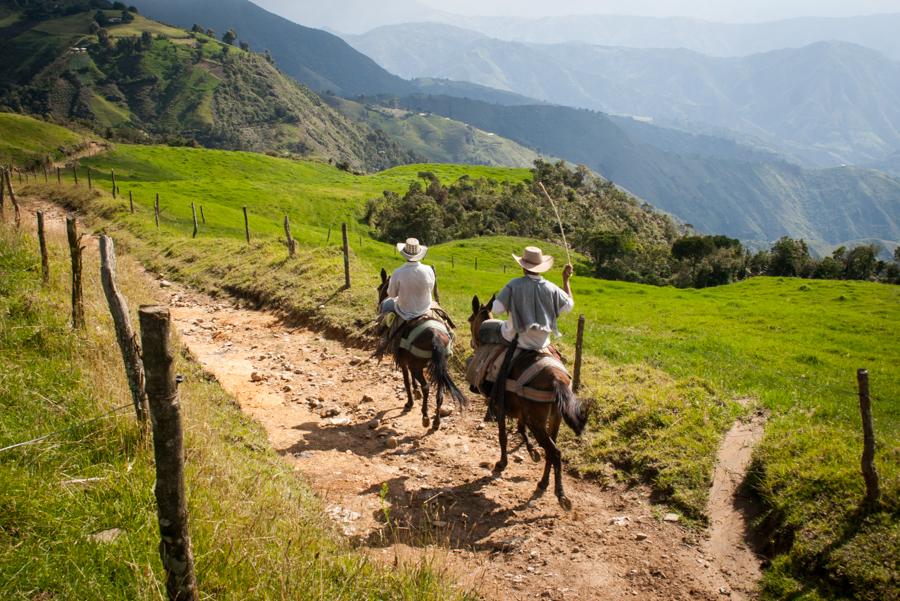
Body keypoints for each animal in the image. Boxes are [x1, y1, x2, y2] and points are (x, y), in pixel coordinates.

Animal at [376, 270, 468, 428]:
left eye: (379, 289)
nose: (378, 306)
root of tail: (436, 337)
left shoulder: (404, 362)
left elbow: (406, 381)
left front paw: (410, 402)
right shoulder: (409, 361)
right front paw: (415, 391)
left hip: (418, 366)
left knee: (427, 387)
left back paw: (425, 416)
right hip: (440, 365)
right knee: (440, 391)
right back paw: (436, 421)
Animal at [468, 294, 588, 506]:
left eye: (469, 320)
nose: (471, 343)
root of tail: (557, 379)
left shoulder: (500, 407)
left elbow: (503, 436)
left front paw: (502, 463)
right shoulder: (519, 411)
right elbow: (520, 430)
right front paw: (532, 452)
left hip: (537, 423)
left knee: (555, 452)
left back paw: (560, 493)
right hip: (554, 419)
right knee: (550, 451)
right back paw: (543, 483)